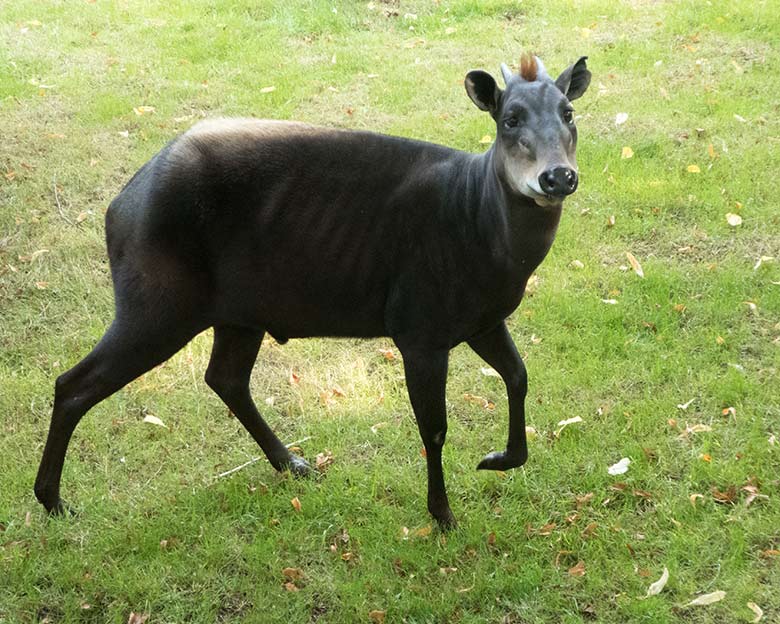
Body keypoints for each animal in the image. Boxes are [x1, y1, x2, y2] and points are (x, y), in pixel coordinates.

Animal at [33, 53, 588, 528]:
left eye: (569, 113)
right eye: (509, 119)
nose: (557, 177)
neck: (479, 220)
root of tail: (118, 208)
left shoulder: (481, 319)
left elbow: (519, 376)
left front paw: (498, 459)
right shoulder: (419, 326)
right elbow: (434, 427)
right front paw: (443, 515)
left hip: (239, 311)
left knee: (225, 378)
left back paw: (293, 463)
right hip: (156, 302)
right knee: (73, 384)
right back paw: (53, 500)